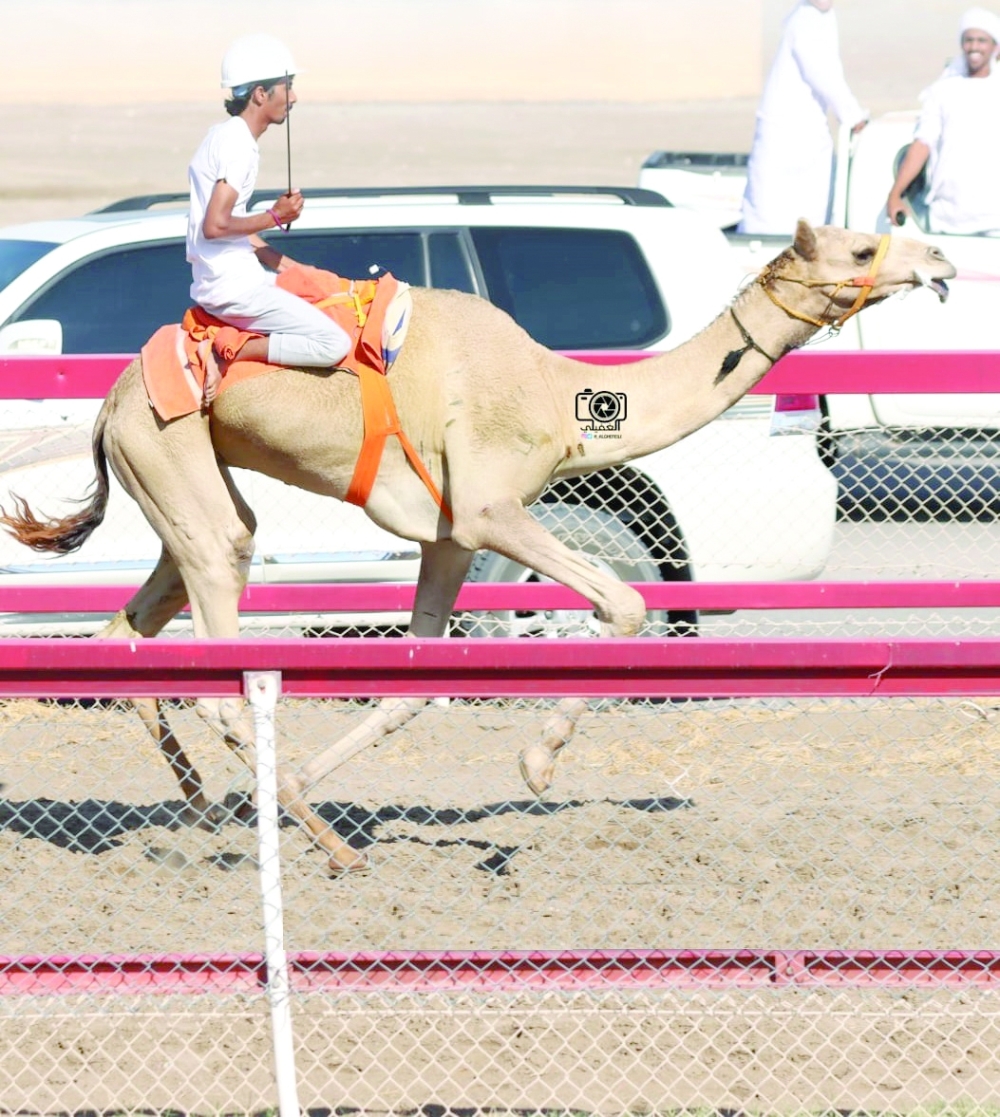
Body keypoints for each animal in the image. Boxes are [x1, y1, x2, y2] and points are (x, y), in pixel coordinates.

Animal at [0, 221, 954, 875]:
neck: (565, 397)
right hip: (174, 460)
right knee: (221, 664)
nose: (941, 261)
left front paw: (312, 792)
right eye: (860, 246)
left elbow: (419, 678)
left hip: (180, 490)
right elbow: (624, 600)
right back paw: (288, 833)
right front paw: (535, 764)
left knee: (126, 629)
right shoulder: (492, 508)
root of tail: (108, 402)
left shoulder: (450, 536)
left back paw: (207, 810)